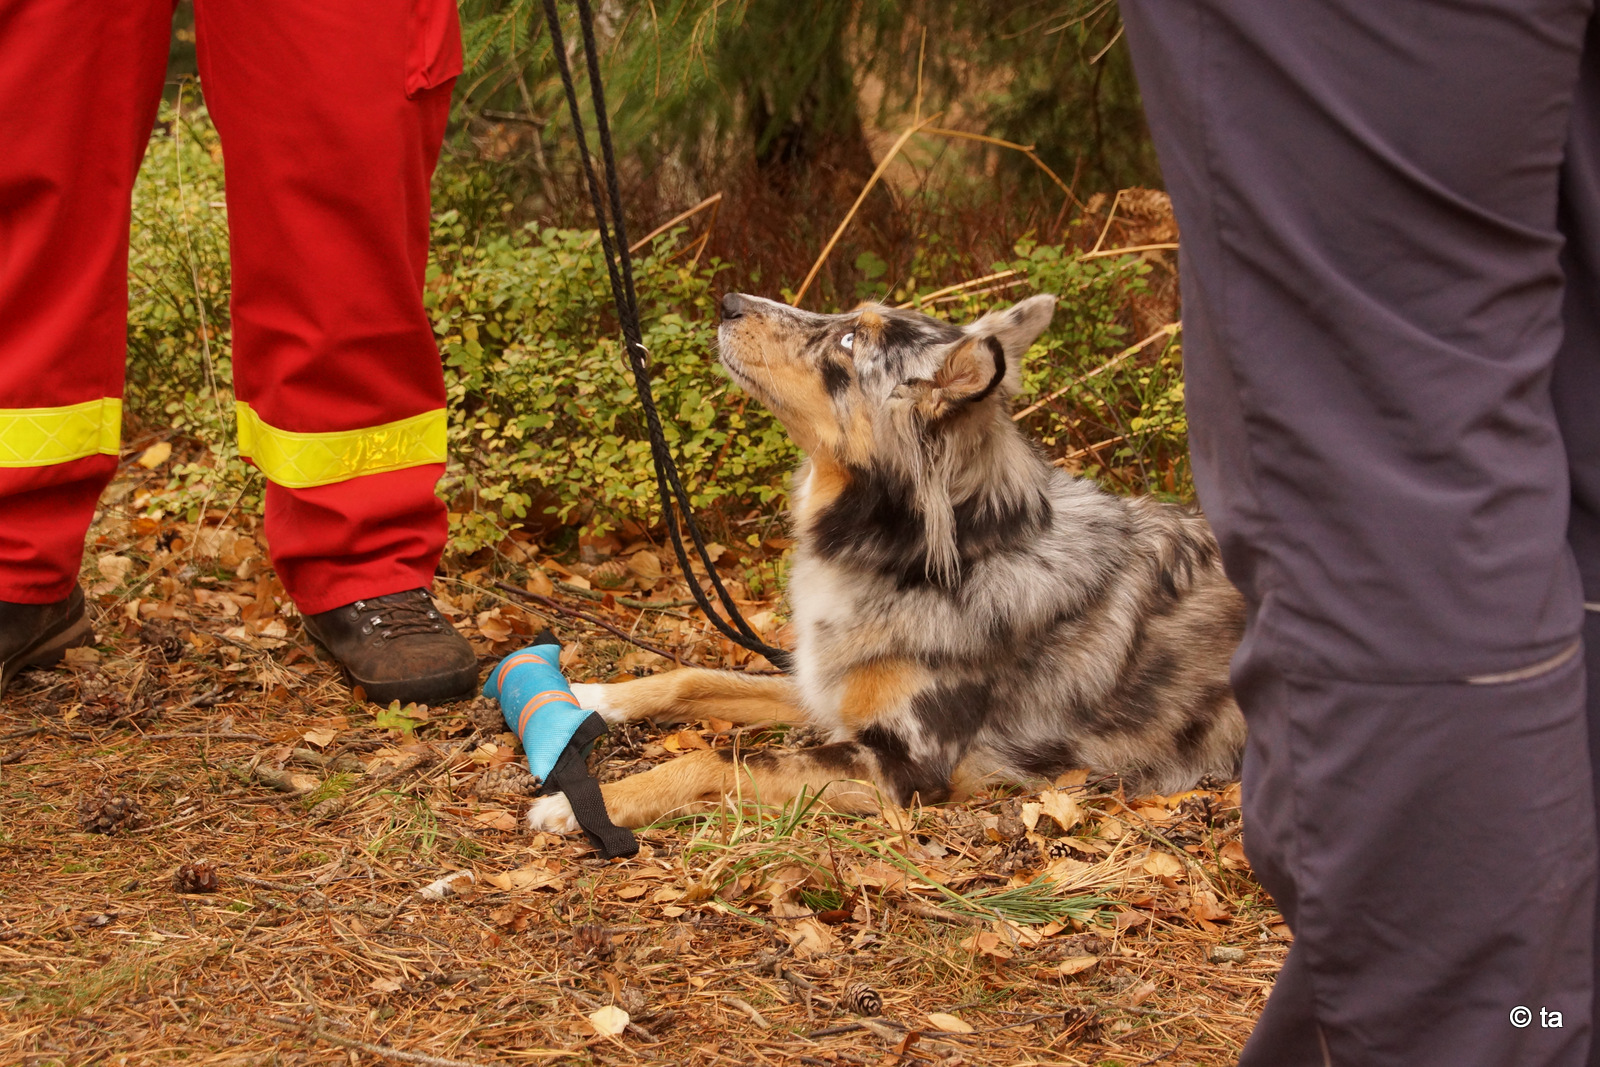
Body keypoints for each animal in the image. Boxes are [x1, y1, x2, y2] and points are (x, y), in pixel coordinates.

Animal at [528, 289, 1248, 831]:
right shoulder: (826, 685)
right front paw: (592, 695)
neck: (932, 559)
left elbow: (717, 759)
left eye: (850, 343)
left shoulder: (901, 765)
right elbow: (693, 679)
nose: (728, 301)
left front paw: (586, 804)